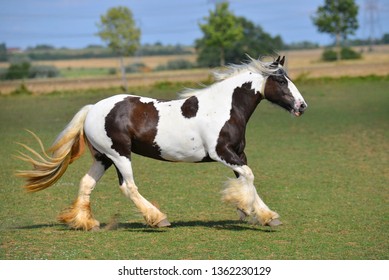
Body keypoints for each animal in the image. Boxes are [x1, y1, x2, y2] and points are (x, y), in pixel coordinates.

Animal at [15, 55, 306, 231]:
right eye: (280, 80)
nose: (302, 106)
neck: (224, 107)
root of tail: (93, 109)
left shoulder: (237, 154)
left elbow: (247, 179)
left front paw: (263, 215)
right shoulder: (222, 153)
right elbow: (249, 176)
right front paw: (248, 209)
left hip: (103, 158)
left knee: (86, 184)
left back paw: (86, 222)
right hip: (119, 155)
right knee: (128, 186)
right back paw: (158, 218)